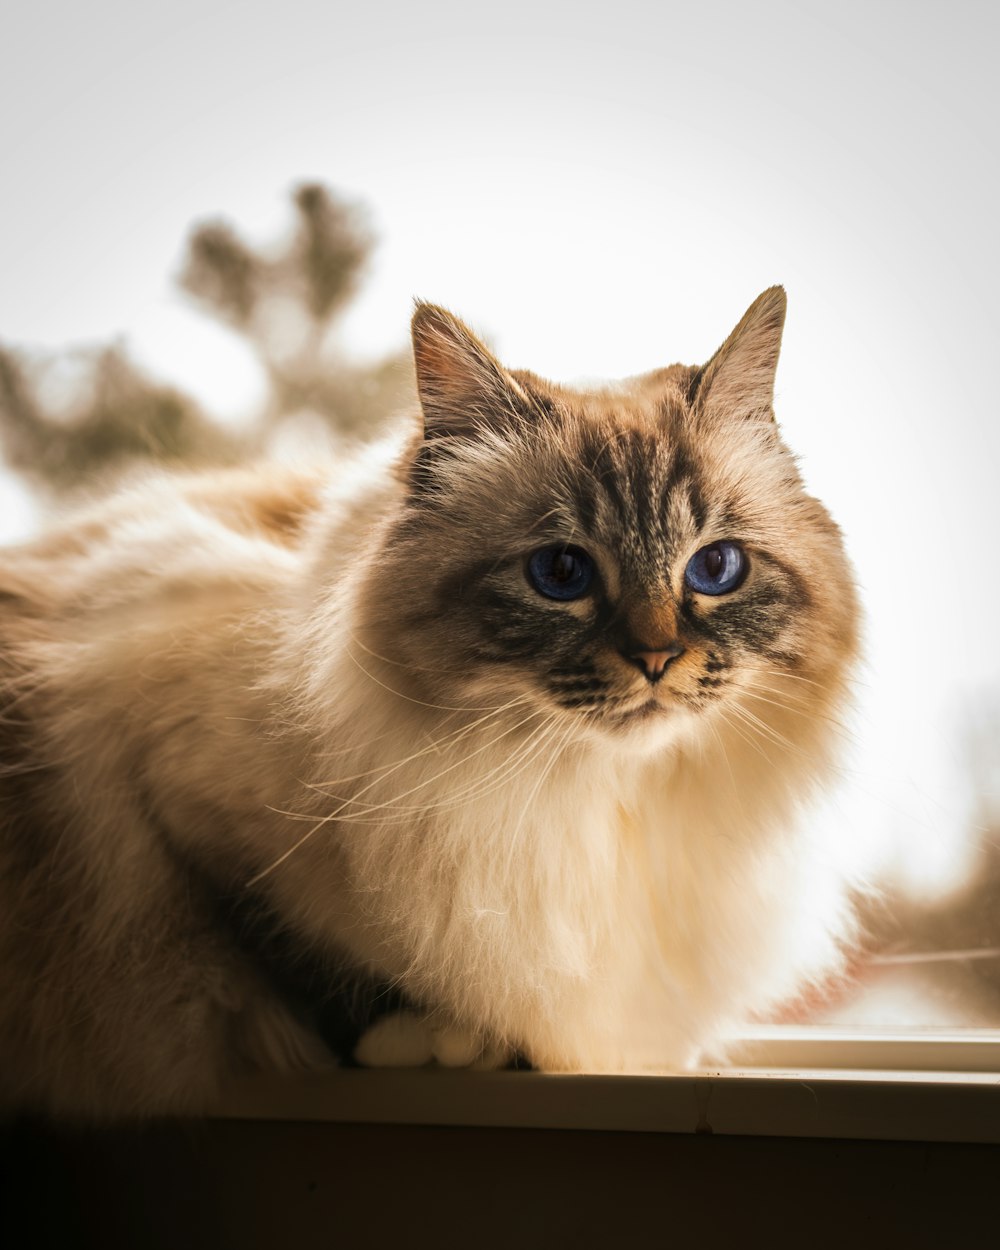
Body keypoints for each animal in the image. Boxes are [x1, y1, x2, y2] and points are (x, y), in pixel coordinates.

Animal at [0, 287, 860, 1120]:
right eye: (561, 573)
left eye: (715, 568)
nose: (655, 659)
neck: (593, 796)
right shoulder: (174, 789)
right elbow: (297, 957)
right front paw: (437, 1037)